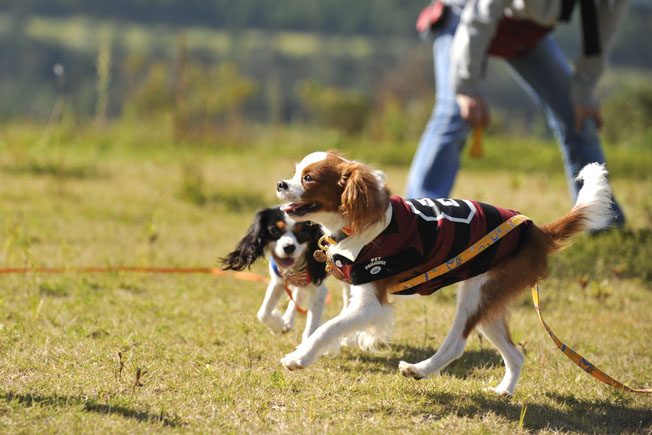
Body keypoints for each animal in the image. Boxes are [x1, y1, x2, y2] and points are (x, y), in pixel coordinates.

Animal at [222, 207, 332, 344]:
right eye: (274, 230)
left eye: (303, 233)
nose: (289, 247)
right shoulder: (278, 282)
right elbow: (263, 313)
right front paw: (279, 325)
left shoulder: (319, 291)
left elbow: (312, 326)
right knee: (298, 294)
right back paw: (288, 321)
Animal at [276, 152, 616, 396]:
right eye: (293, 173)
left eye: (308, 178)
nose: (280, 184)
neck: (357, 223)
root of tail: (537, 231)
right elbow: (334, 325)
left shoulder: (372, 301)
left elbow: (327, 327)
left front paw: (299, 358)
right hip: (489, 301)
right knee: (516, 354)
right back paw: (503, 391)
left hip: (476, 291)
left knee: (457, 344)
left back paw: (420, 370)